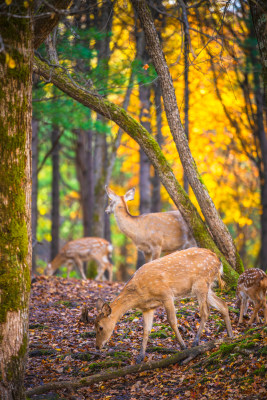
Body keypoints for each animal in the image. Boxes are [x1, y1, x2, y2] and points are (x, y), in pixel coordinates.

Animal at [94, 247, 234, 362]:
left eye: (100, 327)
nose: (97, 346)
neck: (140, 295)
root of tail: (218, 259)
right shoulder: (148, 308)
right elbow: (146, 330)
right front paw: (140, 357)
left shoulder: (166, 295)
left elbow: (172, 321)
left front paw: (183, 346)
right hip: (206, 287)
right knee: (223, 305)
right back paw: (230, 335)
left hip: (201, 282)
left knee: (205, 312)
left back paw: (195, 342)